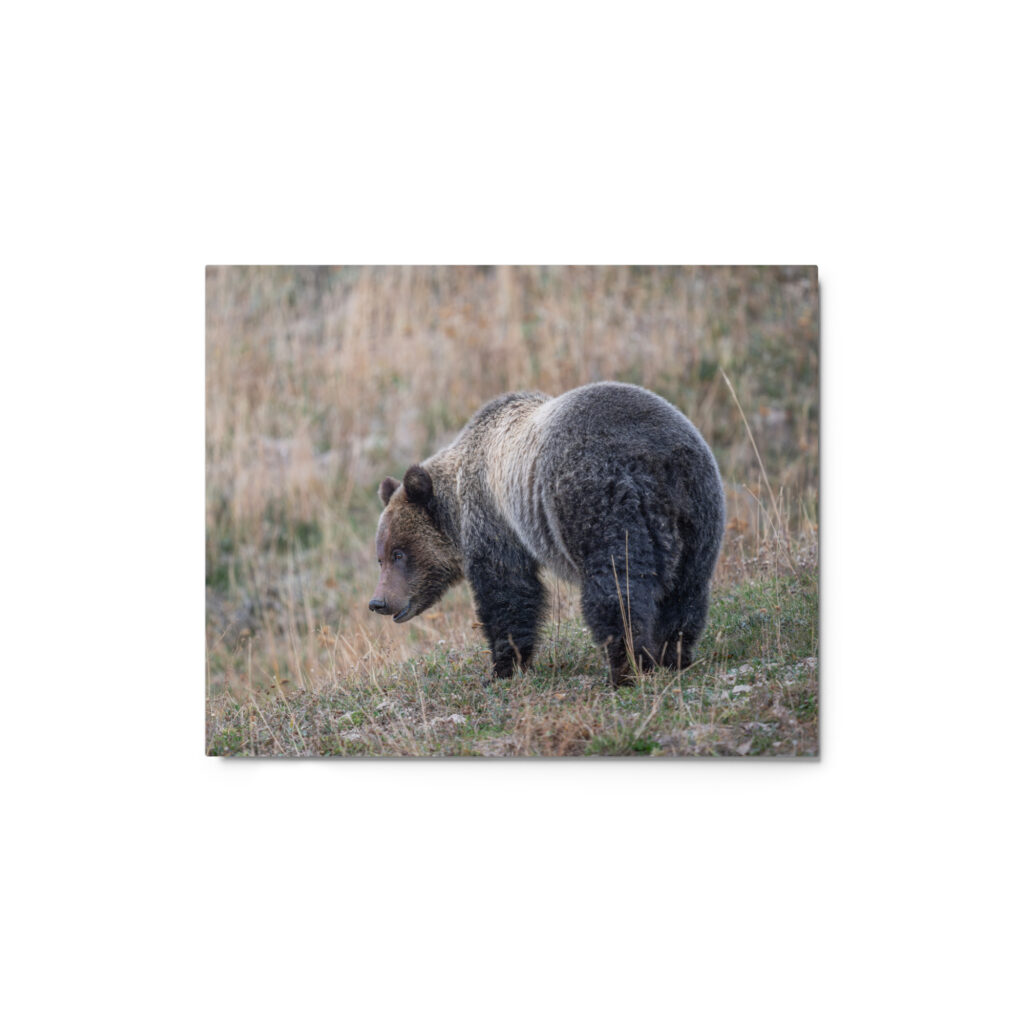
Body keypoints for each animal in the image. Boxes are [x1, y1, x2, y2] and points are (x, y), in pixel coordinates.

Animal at [369, 381, 725, 687]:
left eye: (399, 553)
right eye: (380, 557)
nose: (379, 602)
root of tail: (656, 459)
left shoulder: (494, 521)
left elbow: (508, 592)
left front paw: (503, 667)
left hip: (599, 503)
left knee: (617, 588)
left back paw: (626, 668)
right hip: (698, 511)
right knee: (686, 590)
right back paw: (672, 655)